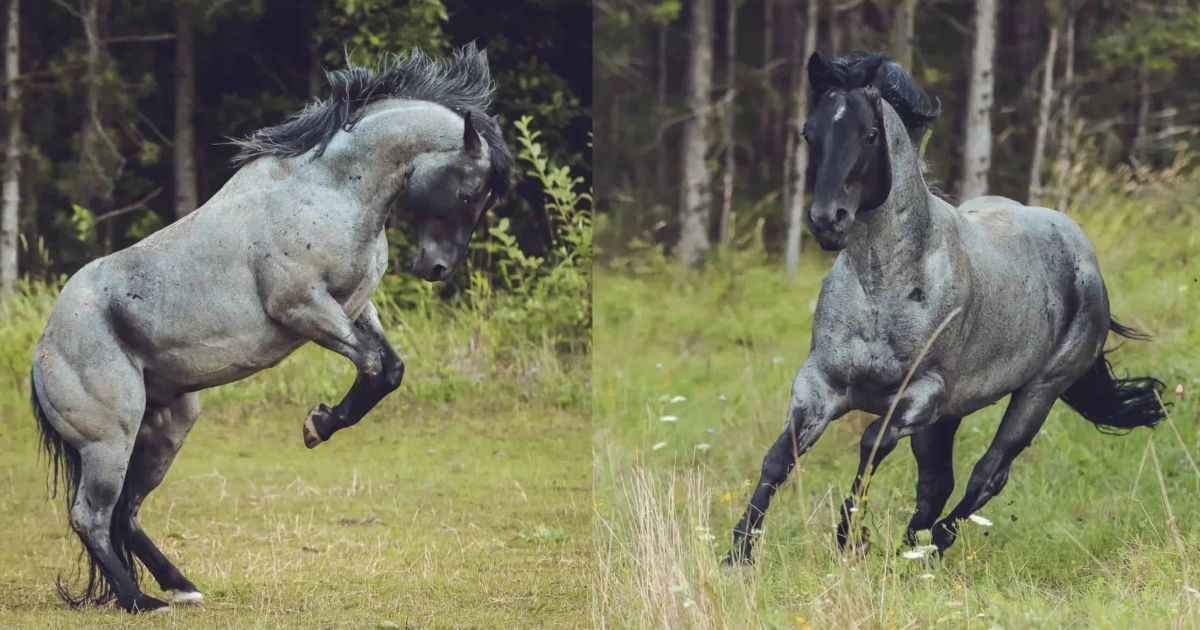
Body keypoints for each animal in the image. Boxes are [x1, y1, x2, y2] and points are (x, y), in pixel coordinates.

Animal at [32, 44, 514, 613]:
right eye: (468, 193)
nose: (438, 268)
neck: (331, 191)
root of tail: (43, 352)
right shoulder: (303, 307)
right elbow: (374, 365)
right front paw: (318, 425)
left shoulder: (354, 307)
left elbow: (390, 369)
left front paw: (320, 423)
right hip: (109, 441)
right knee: (92, 518)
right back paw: (142, 601)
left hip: (166, 428)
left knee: (125, 515)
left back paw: (182, 587)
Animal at [726, 52, 1165, 565]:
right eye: (809, 133)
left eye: (869, 134)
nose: (826, 221)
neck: (882, 288)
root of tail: (1081, 252)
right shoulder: (821, 383)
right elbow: (781, 457)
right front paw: (739, 553)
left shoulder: (922, 393)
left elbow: (871, 445)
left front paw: (850, 538)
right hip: (948, 417)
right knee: (938, 484)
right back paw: (910, 551)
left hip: (1038, 392)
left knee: (987, 475)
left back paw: (933, 544)